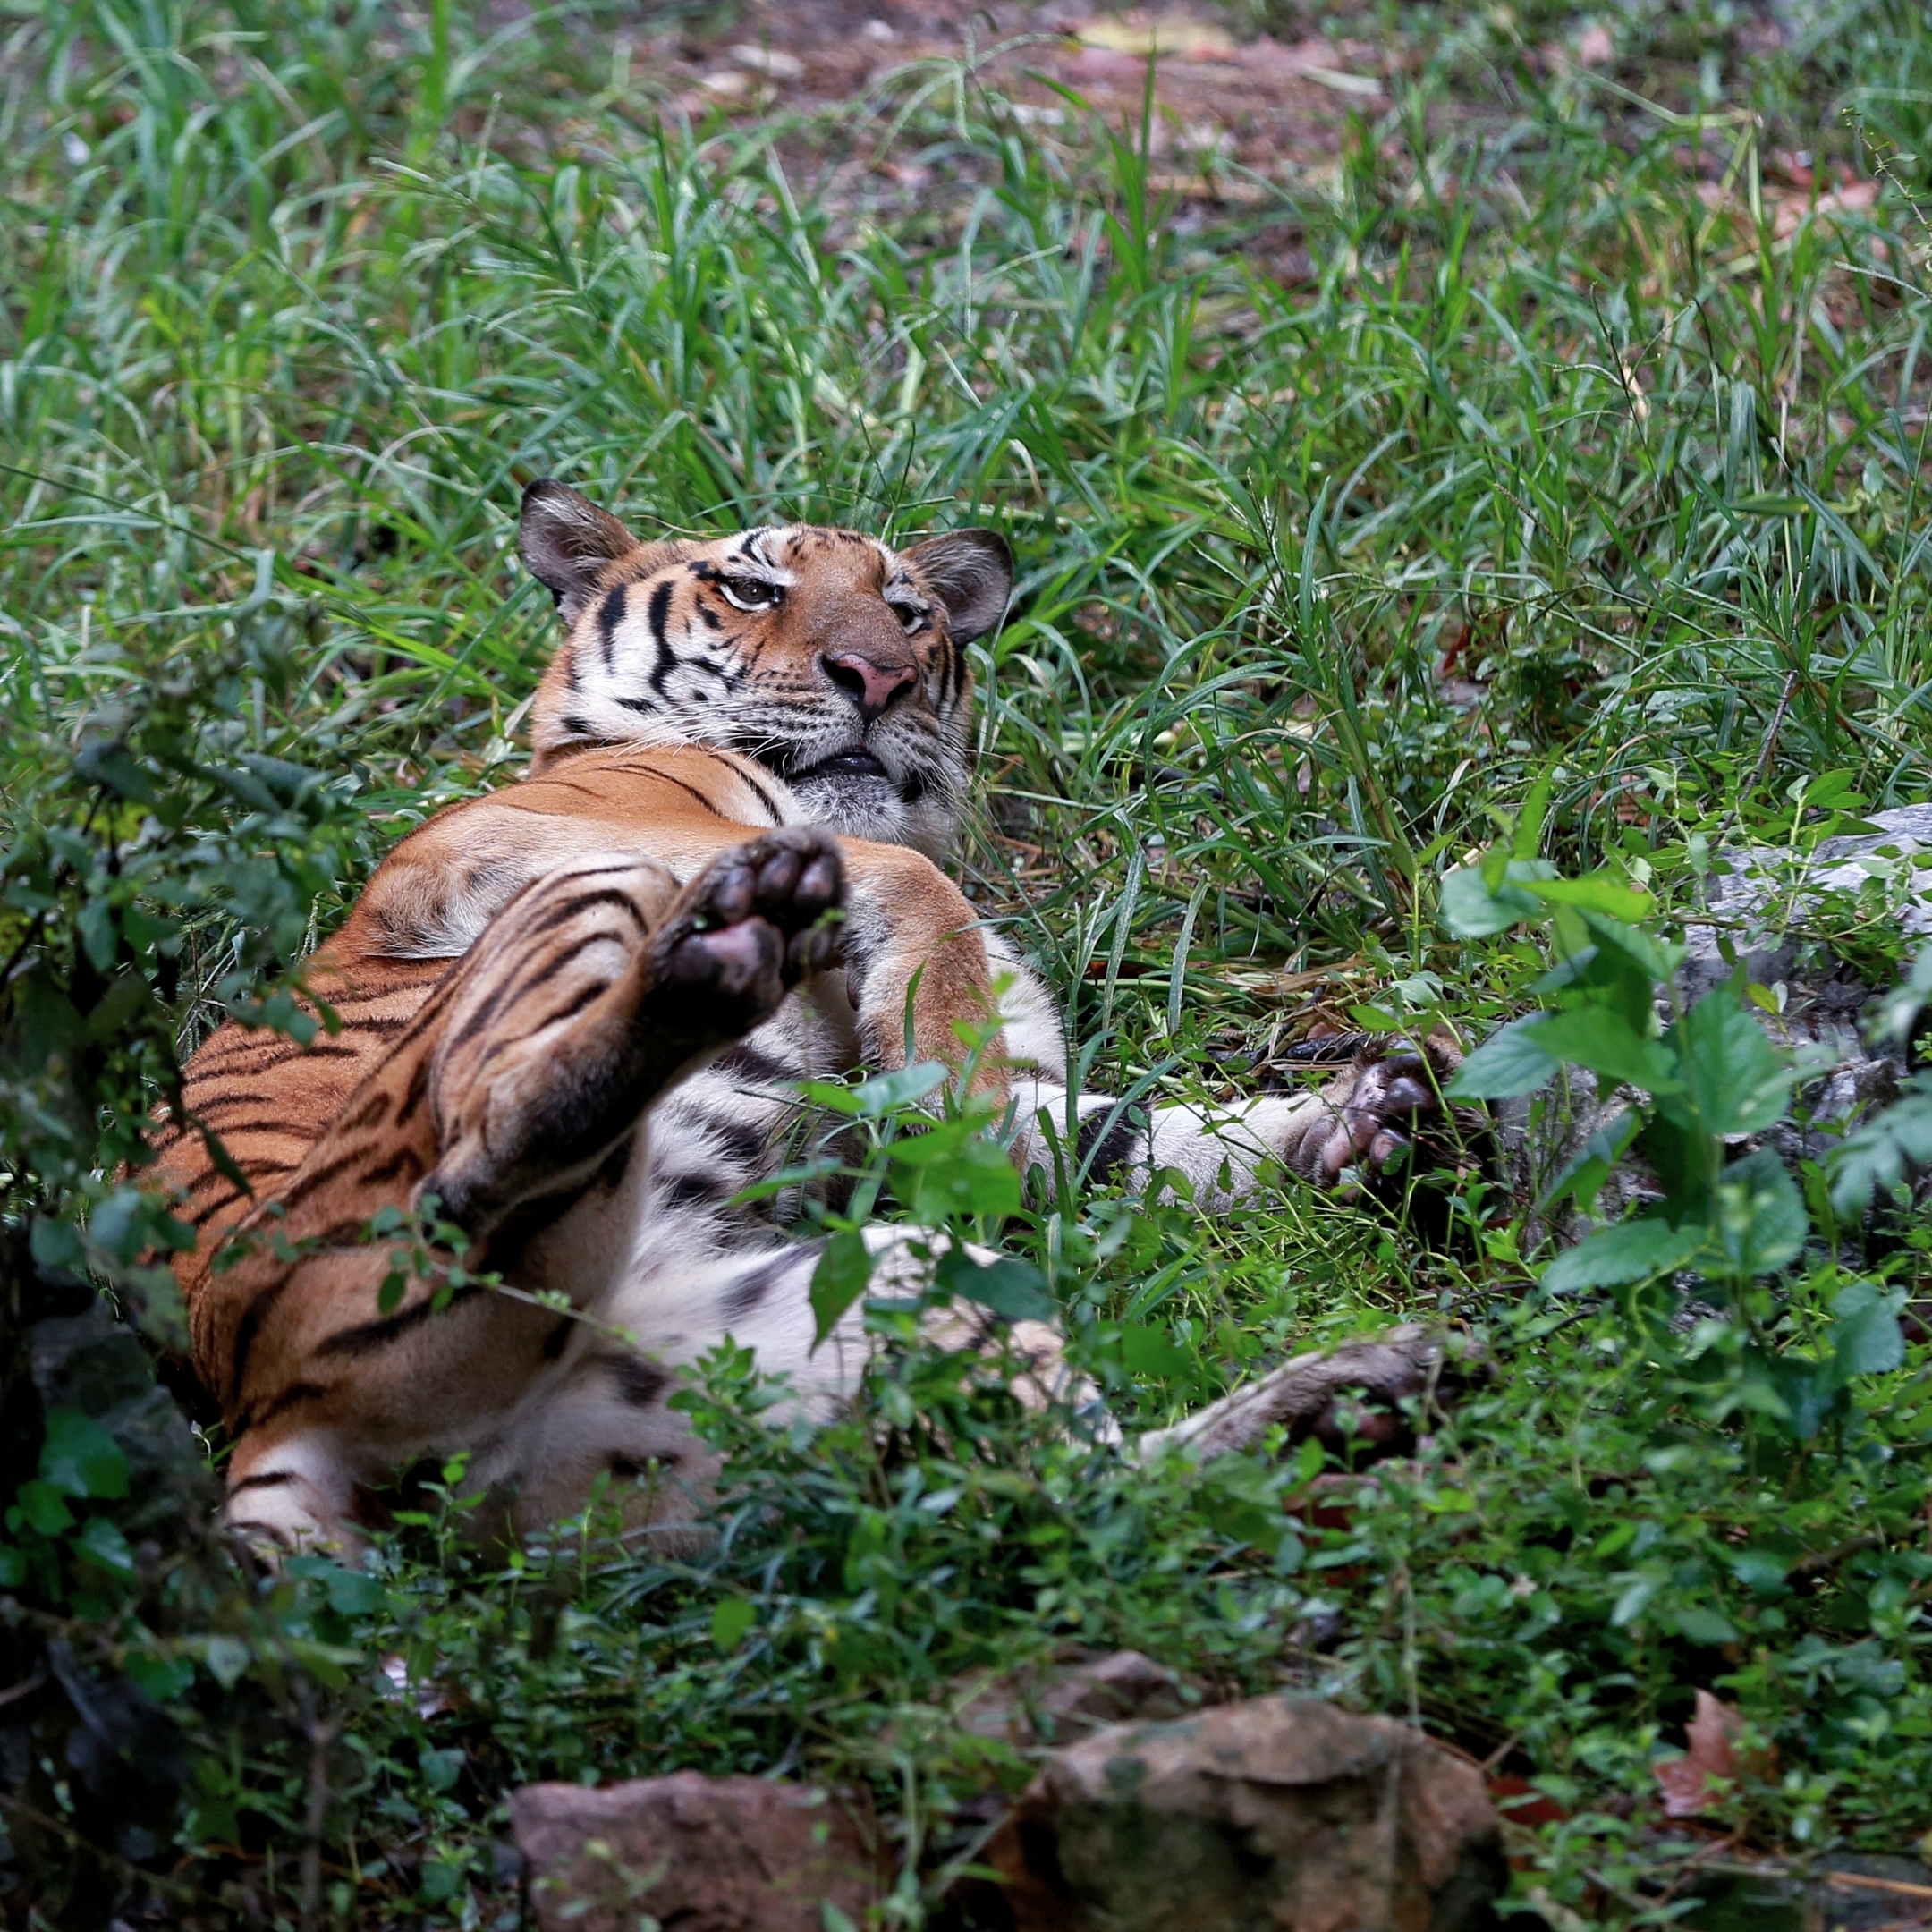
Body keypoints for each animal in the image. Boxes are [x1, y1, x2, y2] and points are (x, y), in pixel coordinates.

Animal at [150, 483, 1453, 1553]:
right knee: (483, 1153)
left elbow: (1127, 1138)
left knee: (1092, 1501)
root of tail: (264, 1417)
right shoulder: (519, 839)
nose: (876, 678)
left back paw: (1345, 1399)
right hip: (577, 929)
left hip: (864, 1301)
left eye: (909, 612)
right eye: (751, 588)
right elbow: (895, 885)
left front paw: (1360, 1124)